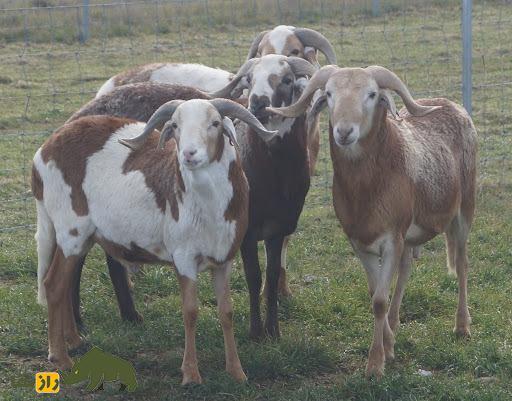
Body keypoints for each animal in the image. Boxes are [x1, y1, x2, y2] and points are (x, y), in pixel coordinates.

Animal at [31, 98, 280, 382]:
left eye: (215, 123)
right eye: (175, 125)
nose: (189, 154)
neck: (209, 206)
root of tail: (44, 152)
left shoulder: (224, 258)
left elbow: (226, 312)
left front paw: (236, 371)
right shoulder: (184, 257)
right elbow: (190, 312)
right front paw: (191, 374)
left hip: (81, 237)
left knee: (65, 283)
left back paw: (73, 340)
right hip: (71, 229)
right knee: (53, 285)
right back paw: (60, 358)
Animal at [270, 65, 478, 376]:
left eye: (371, 94)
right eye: (328, 94)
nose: (344, 131)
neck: (369, 187)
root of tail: (452, 105)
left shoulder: (391, 239)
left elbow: (380, 300)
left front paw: (375, 365)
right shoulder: (360, 242)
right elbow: (374, 293)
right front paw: (388, 346)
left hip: (464, 209)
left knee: (462, 265)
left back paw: (462, 326)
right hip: (409, 234)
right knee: (405, 272)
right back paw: (395, 322)